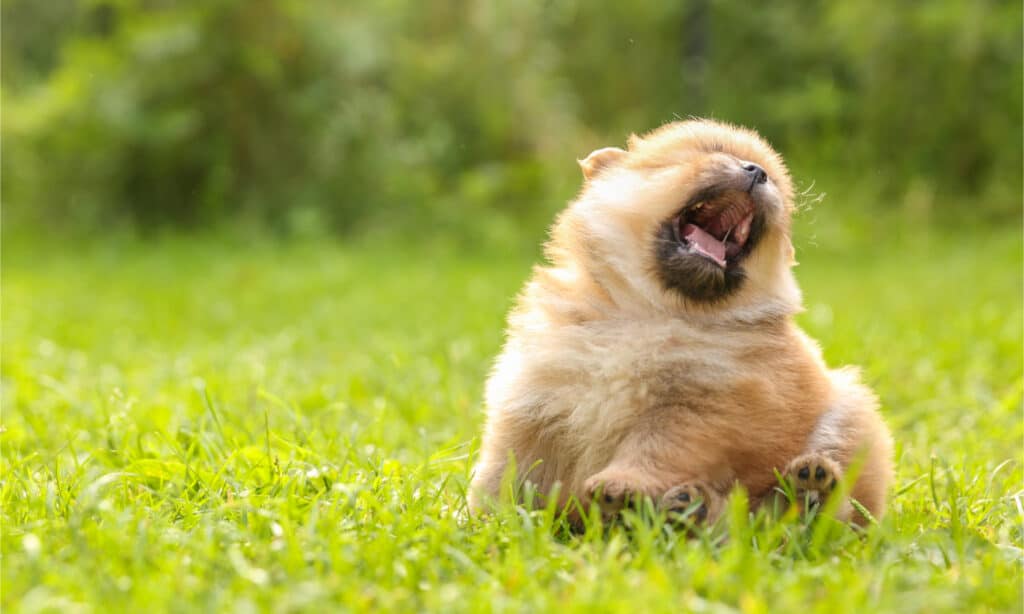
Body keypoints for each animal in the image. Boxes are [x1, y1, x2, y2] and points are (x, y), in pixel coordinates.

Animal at [468, 121, 892, 528]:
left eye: (773, 177)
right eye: (709, 151)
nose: (757, 172)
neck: (650, 309)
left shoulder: (701, 406)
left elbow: (655, 448)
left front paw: (621, 484)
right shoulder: (534, 399)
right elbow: (509, 465)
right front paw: (484, 518)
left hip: (849, 413)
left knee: (836, 514)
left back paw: (810, 489)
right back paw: (691, 509)